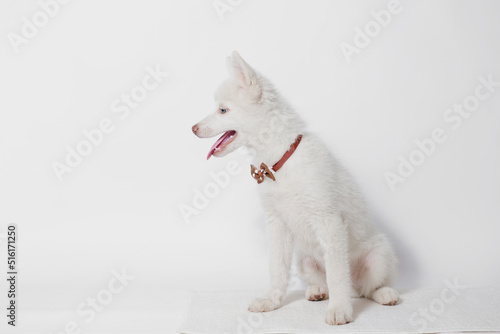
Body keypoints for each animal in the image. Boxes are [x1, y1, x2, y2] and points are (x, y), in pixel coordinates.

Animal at [191, 51, 398, 324]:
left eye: (223, 110)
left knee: (367, 288)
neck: (280, 160)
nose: (192, 129)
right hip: (305, 260)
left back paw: (383, 294)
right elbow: (277, 268)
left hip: (379, 257)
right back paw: (317, 290)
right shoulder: (277, 223)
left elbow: (337, 274)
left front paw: (339, 310)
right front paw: (271, 301)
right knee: (331, 283)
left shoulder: (329, 221)